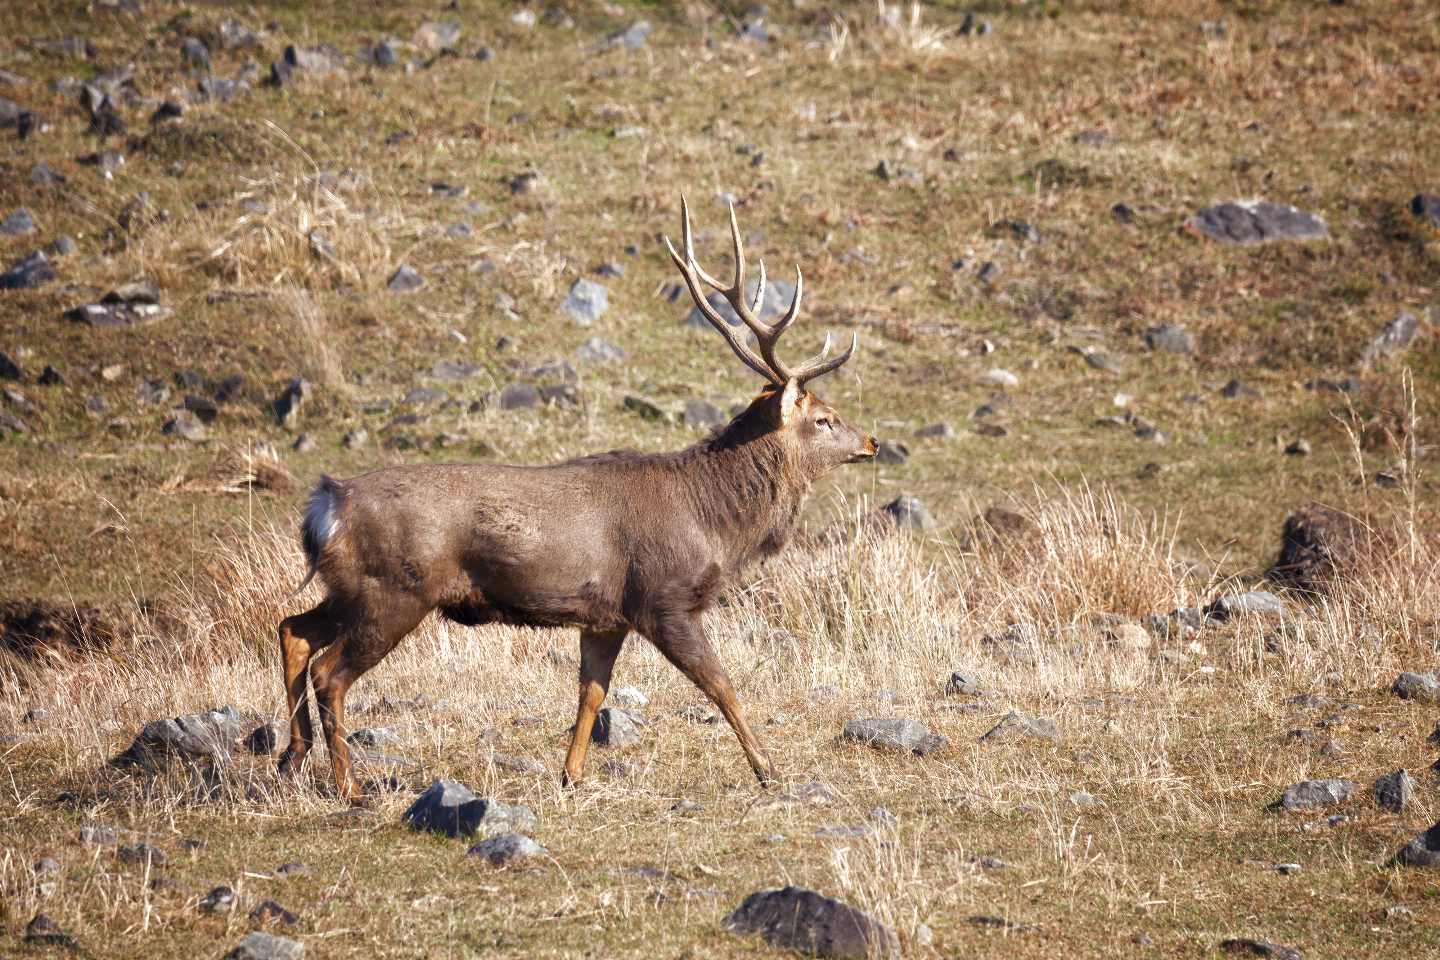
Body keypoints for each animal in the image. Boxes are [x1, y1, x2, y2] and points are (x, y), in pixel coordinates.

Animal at [273, 198, 869, 805]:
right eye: (825, 419)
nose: (870, 441)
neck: (715, 523)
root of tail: (328, 502)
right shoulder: (663, 598)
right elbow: (720, 684)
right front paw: (769, 769)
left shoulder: (607, 615)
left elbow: (592, 693)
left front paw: (572, 774)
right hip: (395, 588)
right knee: (329, 672)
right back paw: (347, 786)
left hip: (353, 586)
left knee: (292, 629)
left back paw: (291, 756)